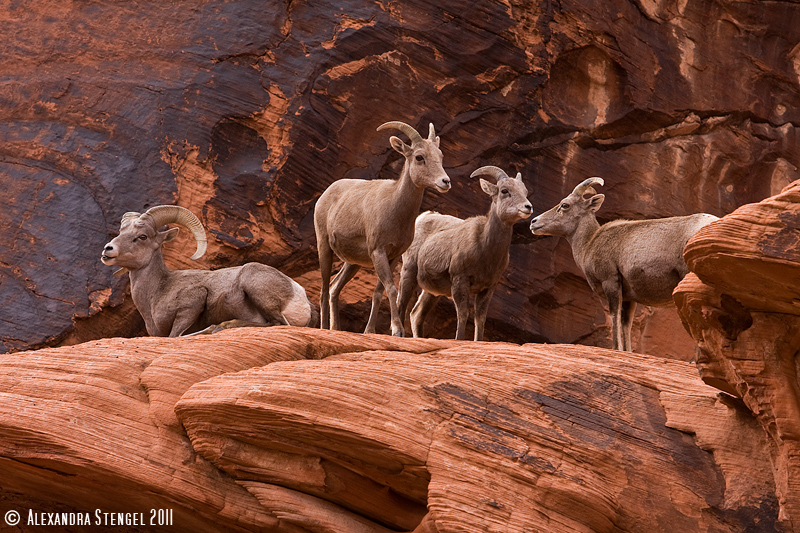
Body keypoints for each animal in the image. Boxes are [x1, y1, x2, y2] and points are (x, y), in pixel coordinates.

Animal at [98, 205, 314, 334]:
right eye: (121, 232)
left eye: (142, 236)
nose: (108, 249)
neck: (156, 292)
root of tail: (299, 294)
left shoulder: (193, 303)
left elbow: (175, 335)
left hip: (253, 282)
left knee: (278, 323)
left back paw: (222, 327)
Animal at [314, 122, 454, 334]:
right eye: (419, 157)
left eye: (440, 155)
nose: (445, 182)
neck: (393, 209)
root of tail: (326, 194)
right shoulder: (378, 252)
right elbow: (391, 288)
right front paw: (397, 330)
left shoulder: (393, 256)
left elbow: (379, 292)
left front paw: (369, 331)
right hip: (324, 247)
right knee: (323, 289)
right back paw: (324, 328)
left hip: (353, 263)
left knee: (333, 287)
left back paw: (336, 328)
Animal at [398, 165, 532, 340]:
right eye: (504, 191)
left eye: (525, 191)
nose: (528, 207)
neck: (485, 251)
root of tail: (422, 217)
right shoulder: (460, 280)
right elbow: (462, 314)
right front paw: (459, 339)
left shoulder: (488, 288)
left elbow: (480, 319)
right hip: (409, 271)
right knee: (401, 305)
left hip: (432, 292)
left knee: (416, 314)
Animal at [532, 179, 720, 352]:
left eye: (565, 205)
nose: (534, 222)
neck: (589, 243)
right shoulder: (629, 297)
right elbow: (626, 325)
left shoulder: (610, 281)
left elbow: (614, 317)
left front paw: (617, 349)